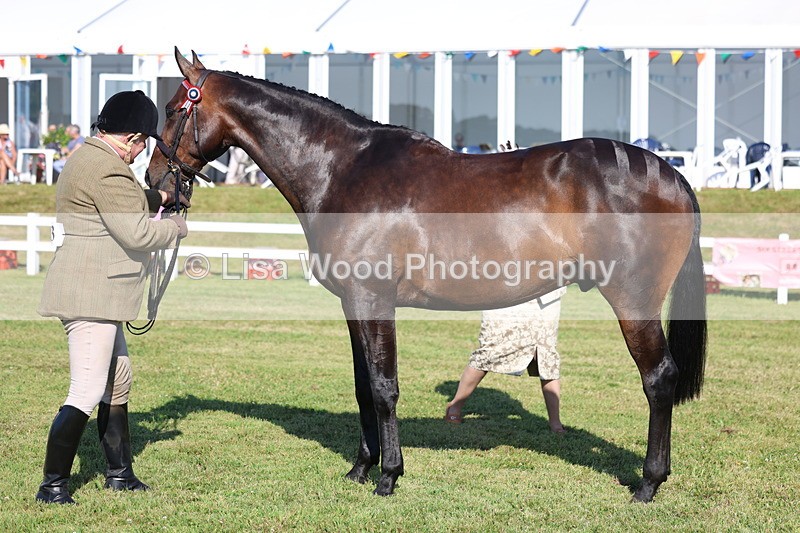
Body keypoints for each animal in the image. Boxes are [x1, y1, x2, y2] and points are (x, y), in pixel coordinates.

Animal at [146, 48, 707, 503]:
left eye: (173, 110)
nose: (156, 184)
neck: (342, 168)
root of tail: (671, 174)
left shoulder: (374, 300)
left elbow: (384, 386)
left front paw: (389, 476)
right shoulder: (353, 304)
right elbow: (363, 386)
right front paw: (360, 468)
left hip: (633, 301)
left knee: (659, 378)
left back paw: (648, 483)